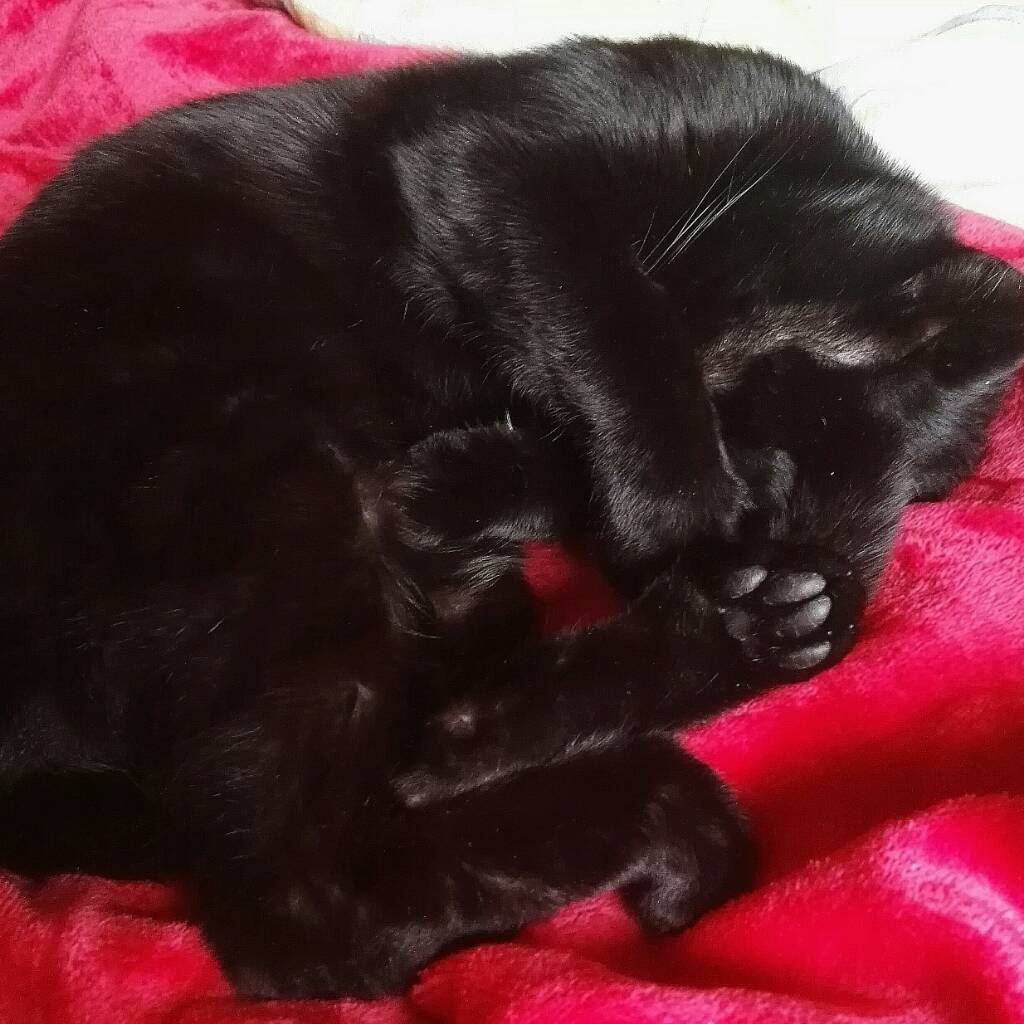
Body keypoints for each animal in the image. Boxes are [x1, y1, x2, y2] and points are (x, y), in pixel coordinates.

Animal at [0, 37, 1021, 1000]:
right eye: (738, 437)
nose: (738, 539)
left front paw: (472, 483)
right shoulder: (503, 159)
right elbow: (618, 324)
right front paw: (669, 512)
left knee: (427, 737)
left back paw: (750, 634)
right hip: (263, 473)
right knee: (298, 906)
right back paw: (677, 801)